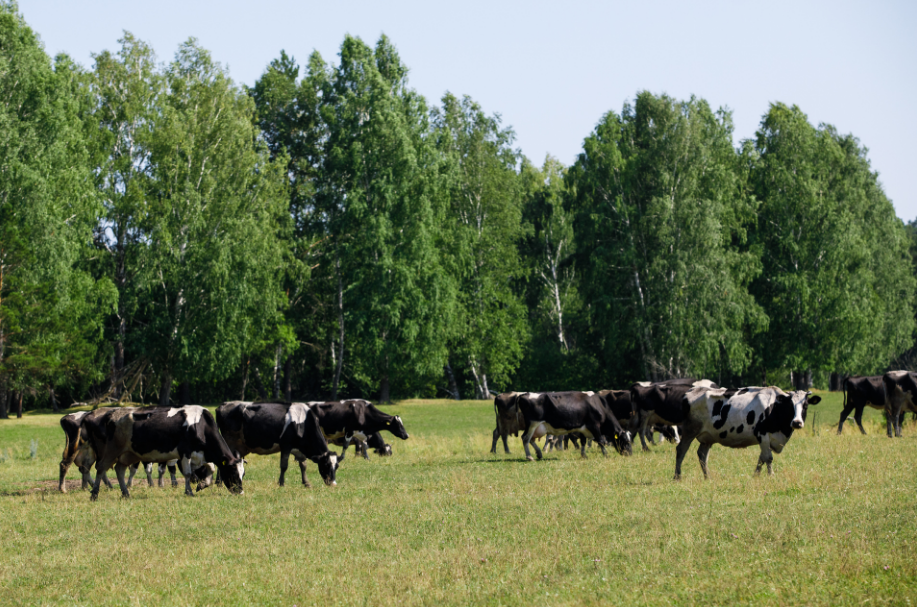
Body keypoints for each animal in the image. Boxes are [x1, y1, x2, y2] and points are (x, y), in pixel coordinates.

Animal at [84, 405, 244, 500]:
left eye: (243, 473)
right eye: (233, 472)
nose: (241, 492)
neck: (199, 425)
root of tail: (112, 414)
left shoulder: (201, 455)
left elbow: (211, 468)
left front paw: (202, 485)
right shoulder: (184, 452)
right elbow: (187, 474)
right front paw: (189, 491)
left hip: (129, 454)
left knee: (119, 469)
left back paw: (125, 493)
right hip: (112, 450)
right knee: (101, 468)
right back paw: (94, 494)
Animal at [674, 386, 821, 479]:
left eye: (805, 405)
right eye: (790, 405)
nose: (796, 422)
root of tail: (691, 391)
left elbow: (761, 458)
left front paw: (755, 476)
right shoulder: (762, 434)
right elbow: (768, 458)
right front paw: (771, 476)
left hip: (707, 437)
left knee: (702, 455)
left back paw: (708, 477)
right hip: (690, 430)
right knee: (681, 449)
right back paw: (677, 476)